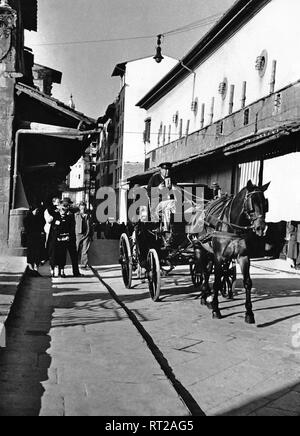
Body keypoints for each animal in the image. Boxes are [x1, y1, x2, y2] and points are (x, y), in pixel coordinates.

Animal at [193, 181, 270, 324]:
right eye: (252, 203)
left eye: (265, 203)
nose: (260, 228)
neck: (233, 226)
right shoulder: (219, 257)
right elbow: (217, 282)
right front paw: (216, 310)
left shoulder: (243, 256)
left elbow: (247, 283)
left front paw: (249, 313)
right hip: (199, 248)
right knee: (203, 272)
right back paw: (205, 296)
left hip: (210, 253)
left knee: (207, 271)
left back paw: (207, 297)